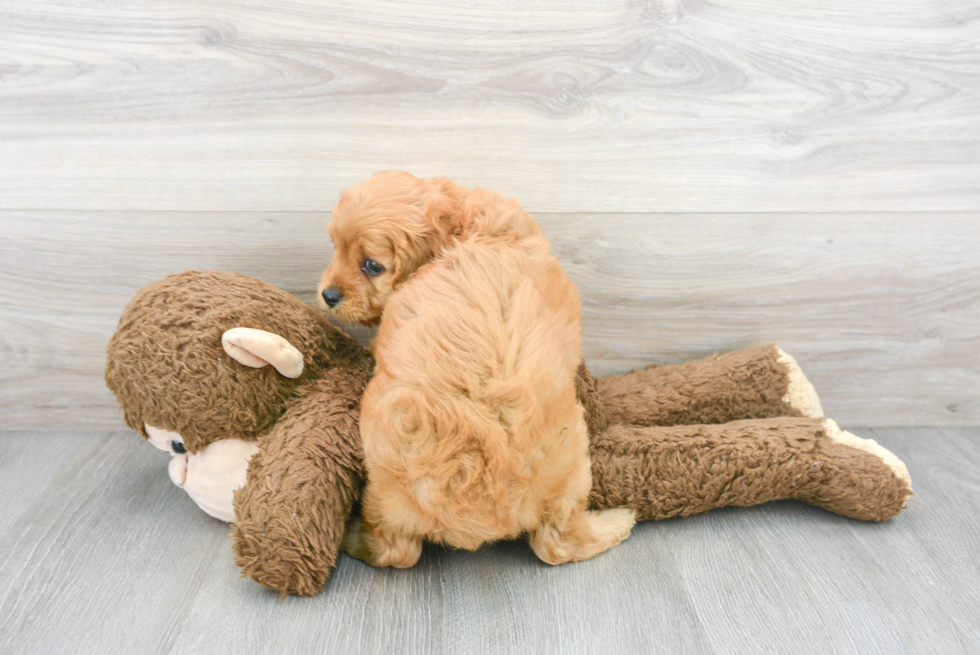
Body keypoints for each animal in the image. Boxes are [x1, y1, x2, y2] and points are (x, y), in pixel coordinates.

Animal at [318, 172, 632, 568]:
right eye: (335, 246)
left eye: (372, 265)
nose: (327, 295)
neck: (474, 229)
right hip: (572, 473)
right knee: (559, 543)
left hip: (383, 481)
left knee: (394, 550)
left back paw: (350, 534)